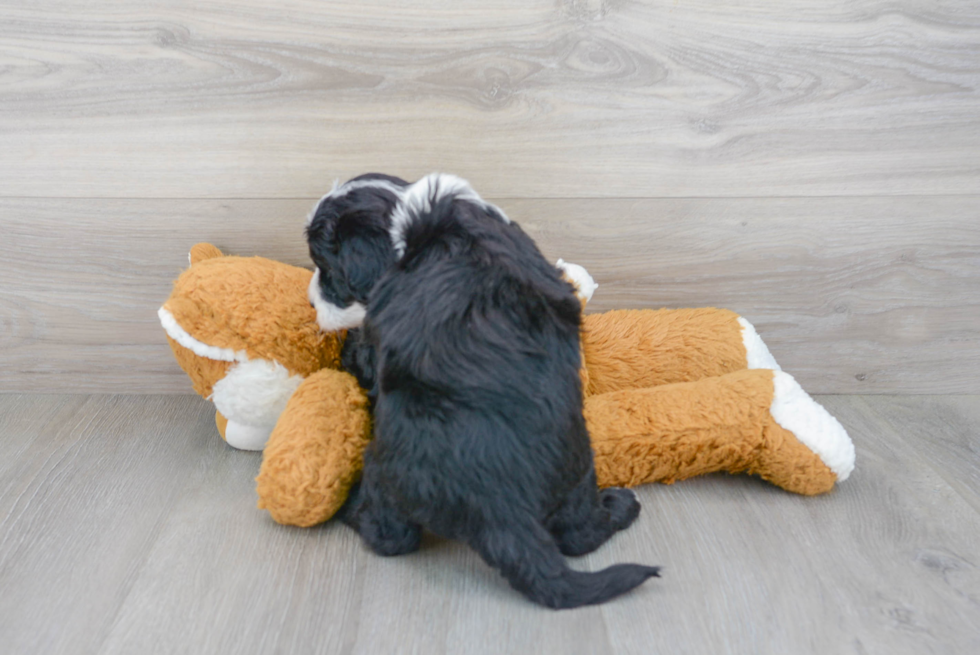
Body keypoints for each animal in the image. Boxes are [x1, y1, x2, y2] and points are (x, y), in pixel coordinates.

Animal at [306, 174, 660, 608]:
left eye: (328, 272)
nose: (311, 302)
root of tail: (500, 507)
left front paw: (347, 349)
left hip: (385, 471)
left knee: (391, 537)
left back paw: (349, 505)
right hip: (577, 465)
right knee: (578, 534)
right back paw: (620, 506)